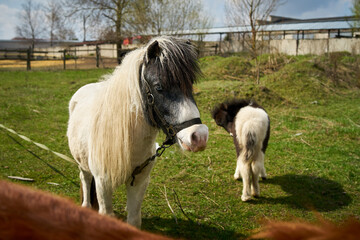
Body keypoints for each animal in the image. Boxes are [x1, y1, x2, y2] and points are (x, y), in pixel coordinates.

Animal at [67, 36, 208, 228]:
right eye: (159, 87)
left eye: (190, 85)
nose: (199, 136)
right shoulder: (103, 183)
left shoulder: (139, 181)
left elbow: (133, 220)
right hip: (83, 164)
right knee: (86, 180)